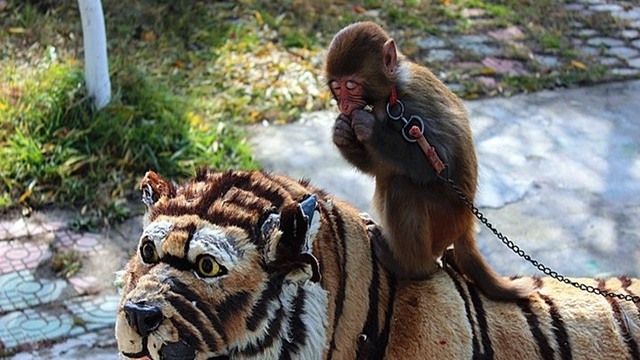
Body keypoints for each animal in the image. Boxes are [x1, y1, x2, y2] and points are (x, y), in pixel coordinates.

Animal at [324, 21, 528, 300]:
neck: (391, 92)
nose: (344, 106)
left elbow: (439, 165)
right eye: (336, 86)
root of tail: (466, 222)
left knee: (401, 187)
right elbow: (379, 167)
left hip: (446, 220)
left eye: (351, 85)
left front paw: (368, 127)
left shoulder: (413, 106)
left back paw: (412, 267)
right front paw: (342, 133)